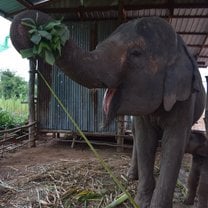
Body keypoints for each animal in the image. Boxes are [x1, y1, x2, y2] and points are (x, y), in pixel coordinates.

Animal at [9, 10, 205, 208]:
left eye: (136, 53)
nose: (34, 31)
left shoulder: (186, 99)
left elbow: (173, 145)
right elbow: (145, 139)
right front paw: (141, 202)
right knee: (137, 135)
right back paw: (131, 176)